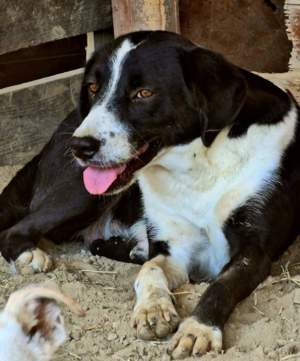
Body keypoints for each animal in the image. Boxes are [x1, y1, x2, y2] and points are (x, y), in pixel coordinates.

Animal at [0, 31, 300, 358]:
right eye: (92, 87)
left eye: (143, 93)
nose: (79, 146)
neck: (197, 167)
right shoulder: (171, 245)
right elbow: (150, 269)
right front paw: (152, 311)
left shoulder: (254, 250)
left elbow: (220, 286)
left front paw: (198, 328)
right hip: (83, 194)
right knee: (14, 230)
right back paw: (30, 254)